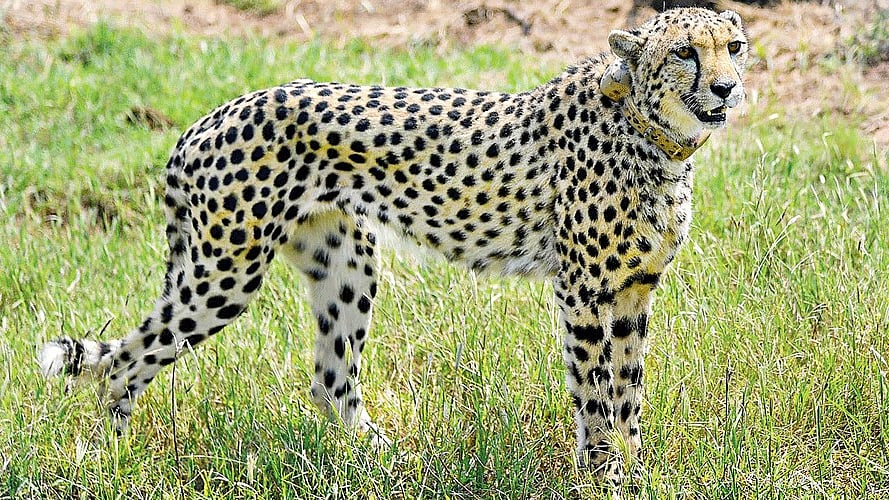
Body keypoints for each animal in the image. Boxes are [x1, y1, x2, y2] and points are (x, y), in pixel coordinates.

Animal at [38, 7, 748, 480]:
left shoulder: (633, 291)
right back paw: (107, 460)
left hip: (345, 262)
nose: (726, 87)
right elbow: (596, 393)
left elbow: (628, 393)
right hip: (224, 273)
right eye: (685, 54)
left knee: (330, 380)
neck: (654, 135)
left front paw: (636, 470)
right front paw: (603, 475)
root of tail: (208, 117)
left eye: (734, 46)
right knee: (128, 358)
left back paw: (385, 461)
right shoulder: (583, 290)